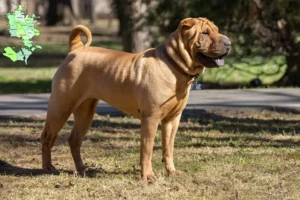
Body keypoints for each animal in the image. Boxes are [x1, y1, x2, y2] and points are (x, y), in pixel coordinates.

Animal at [41, 17, 231, 182]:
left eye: (217, 30)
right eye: (205, 33)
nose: (228, 42)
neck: (174, 65)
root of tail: (76, 48)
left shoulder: (172, 120)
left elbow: (168, 148)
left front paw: (171, 171)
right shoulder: (151, 119)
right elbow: (147, 150)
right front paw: (148, 176)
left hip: (85, 112)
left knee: (74, 140)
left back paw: (81, 169)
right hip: (61, 108)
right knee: (47, 137)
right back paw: (48, 168)